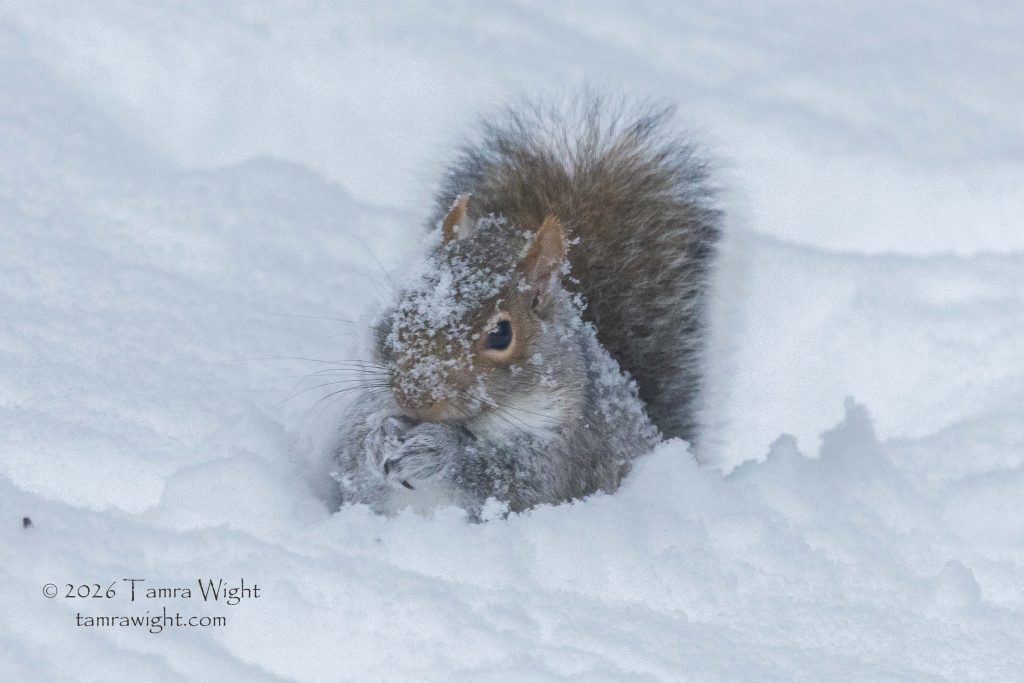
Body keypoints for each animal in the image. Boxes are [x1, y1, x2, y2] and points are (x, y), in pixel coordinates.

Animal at [333, 95, 722, 517]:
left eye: (501, 334)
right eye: (402, 307)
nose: (414, 396)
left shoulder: (566, 449)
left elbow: (512, 480)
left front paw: (439, 447)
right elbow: (350, 456)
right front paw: (377, 438)